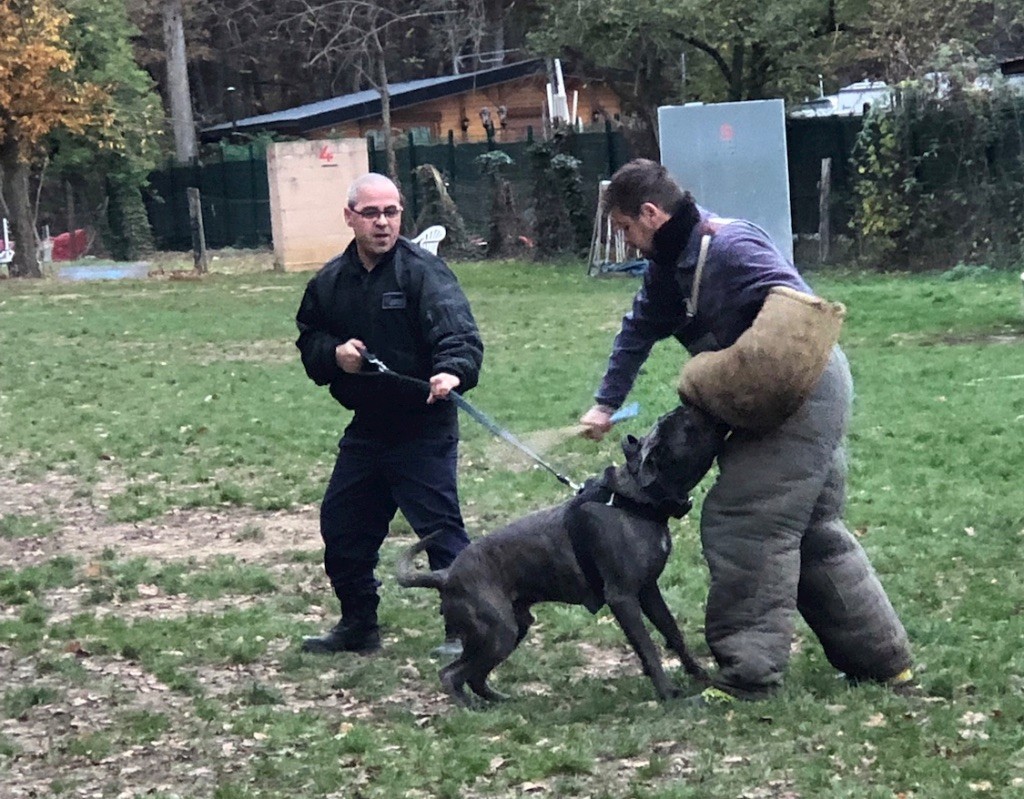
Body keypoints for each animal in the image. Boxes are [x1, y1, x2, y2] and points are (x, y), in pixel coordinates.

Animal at [396, 402, 728, 705]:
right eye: (684, 422)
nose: (694, 404)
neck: (635, 499)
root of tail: (445, 575)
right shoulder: (622, 597)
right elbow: (647, 647)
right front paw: (668, 693)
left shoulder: (648, 590)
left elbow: (673, 632)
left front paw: (698, 673)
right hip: (497, 633)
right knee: (451, 674)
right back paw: (469, 710)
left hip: (512, 628)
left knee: (473, 675)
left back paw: (501, 701)